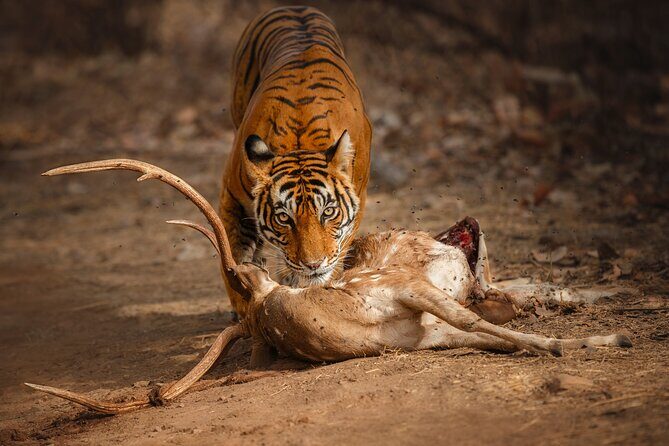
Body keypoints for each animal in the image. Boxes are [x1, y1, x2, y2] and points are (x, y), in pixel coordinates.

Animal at [219, 6, 372, 316]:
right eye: (283, 218)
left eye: (328, 212)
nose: (313, 265)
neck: (300, 142)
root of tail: (294, 7)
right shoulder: (232, 194)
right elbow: (233, 251)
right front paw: (245, 299)